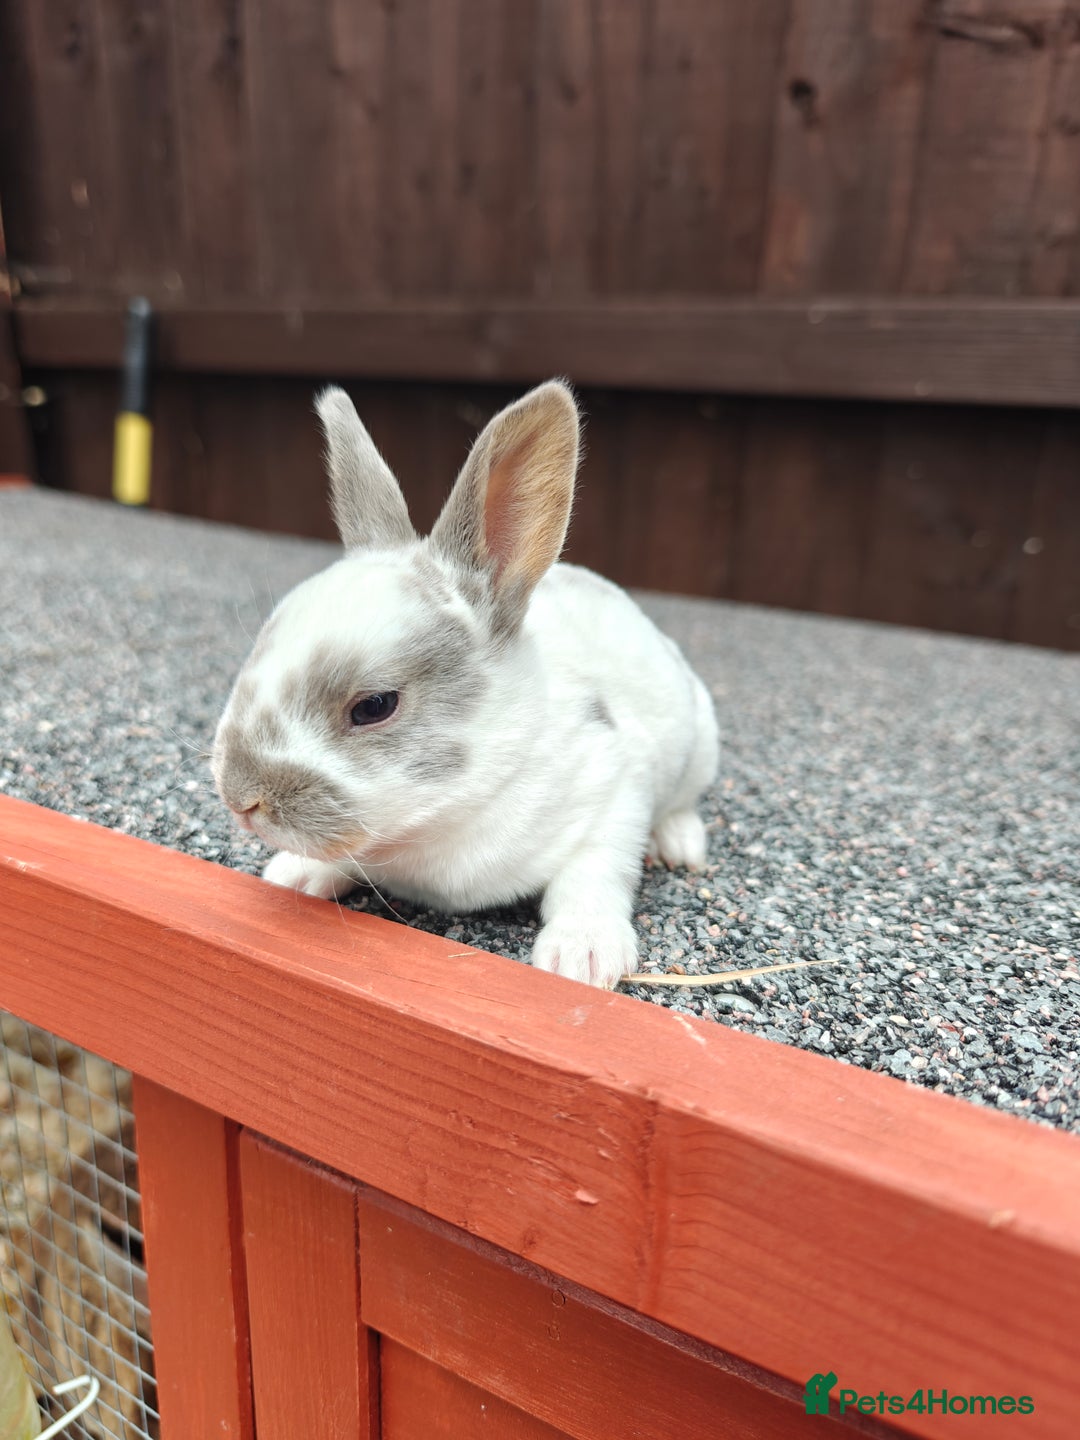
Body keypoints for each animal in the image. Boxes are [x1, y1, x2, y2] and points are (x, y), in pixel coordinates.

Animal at [211, 379, 719, 988]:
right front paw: (295, 875)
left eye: (374, 705)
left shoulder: (614, 798)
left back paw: (681, 846)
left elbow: (592, 878)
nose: (241, 799)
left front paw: (583, 958)